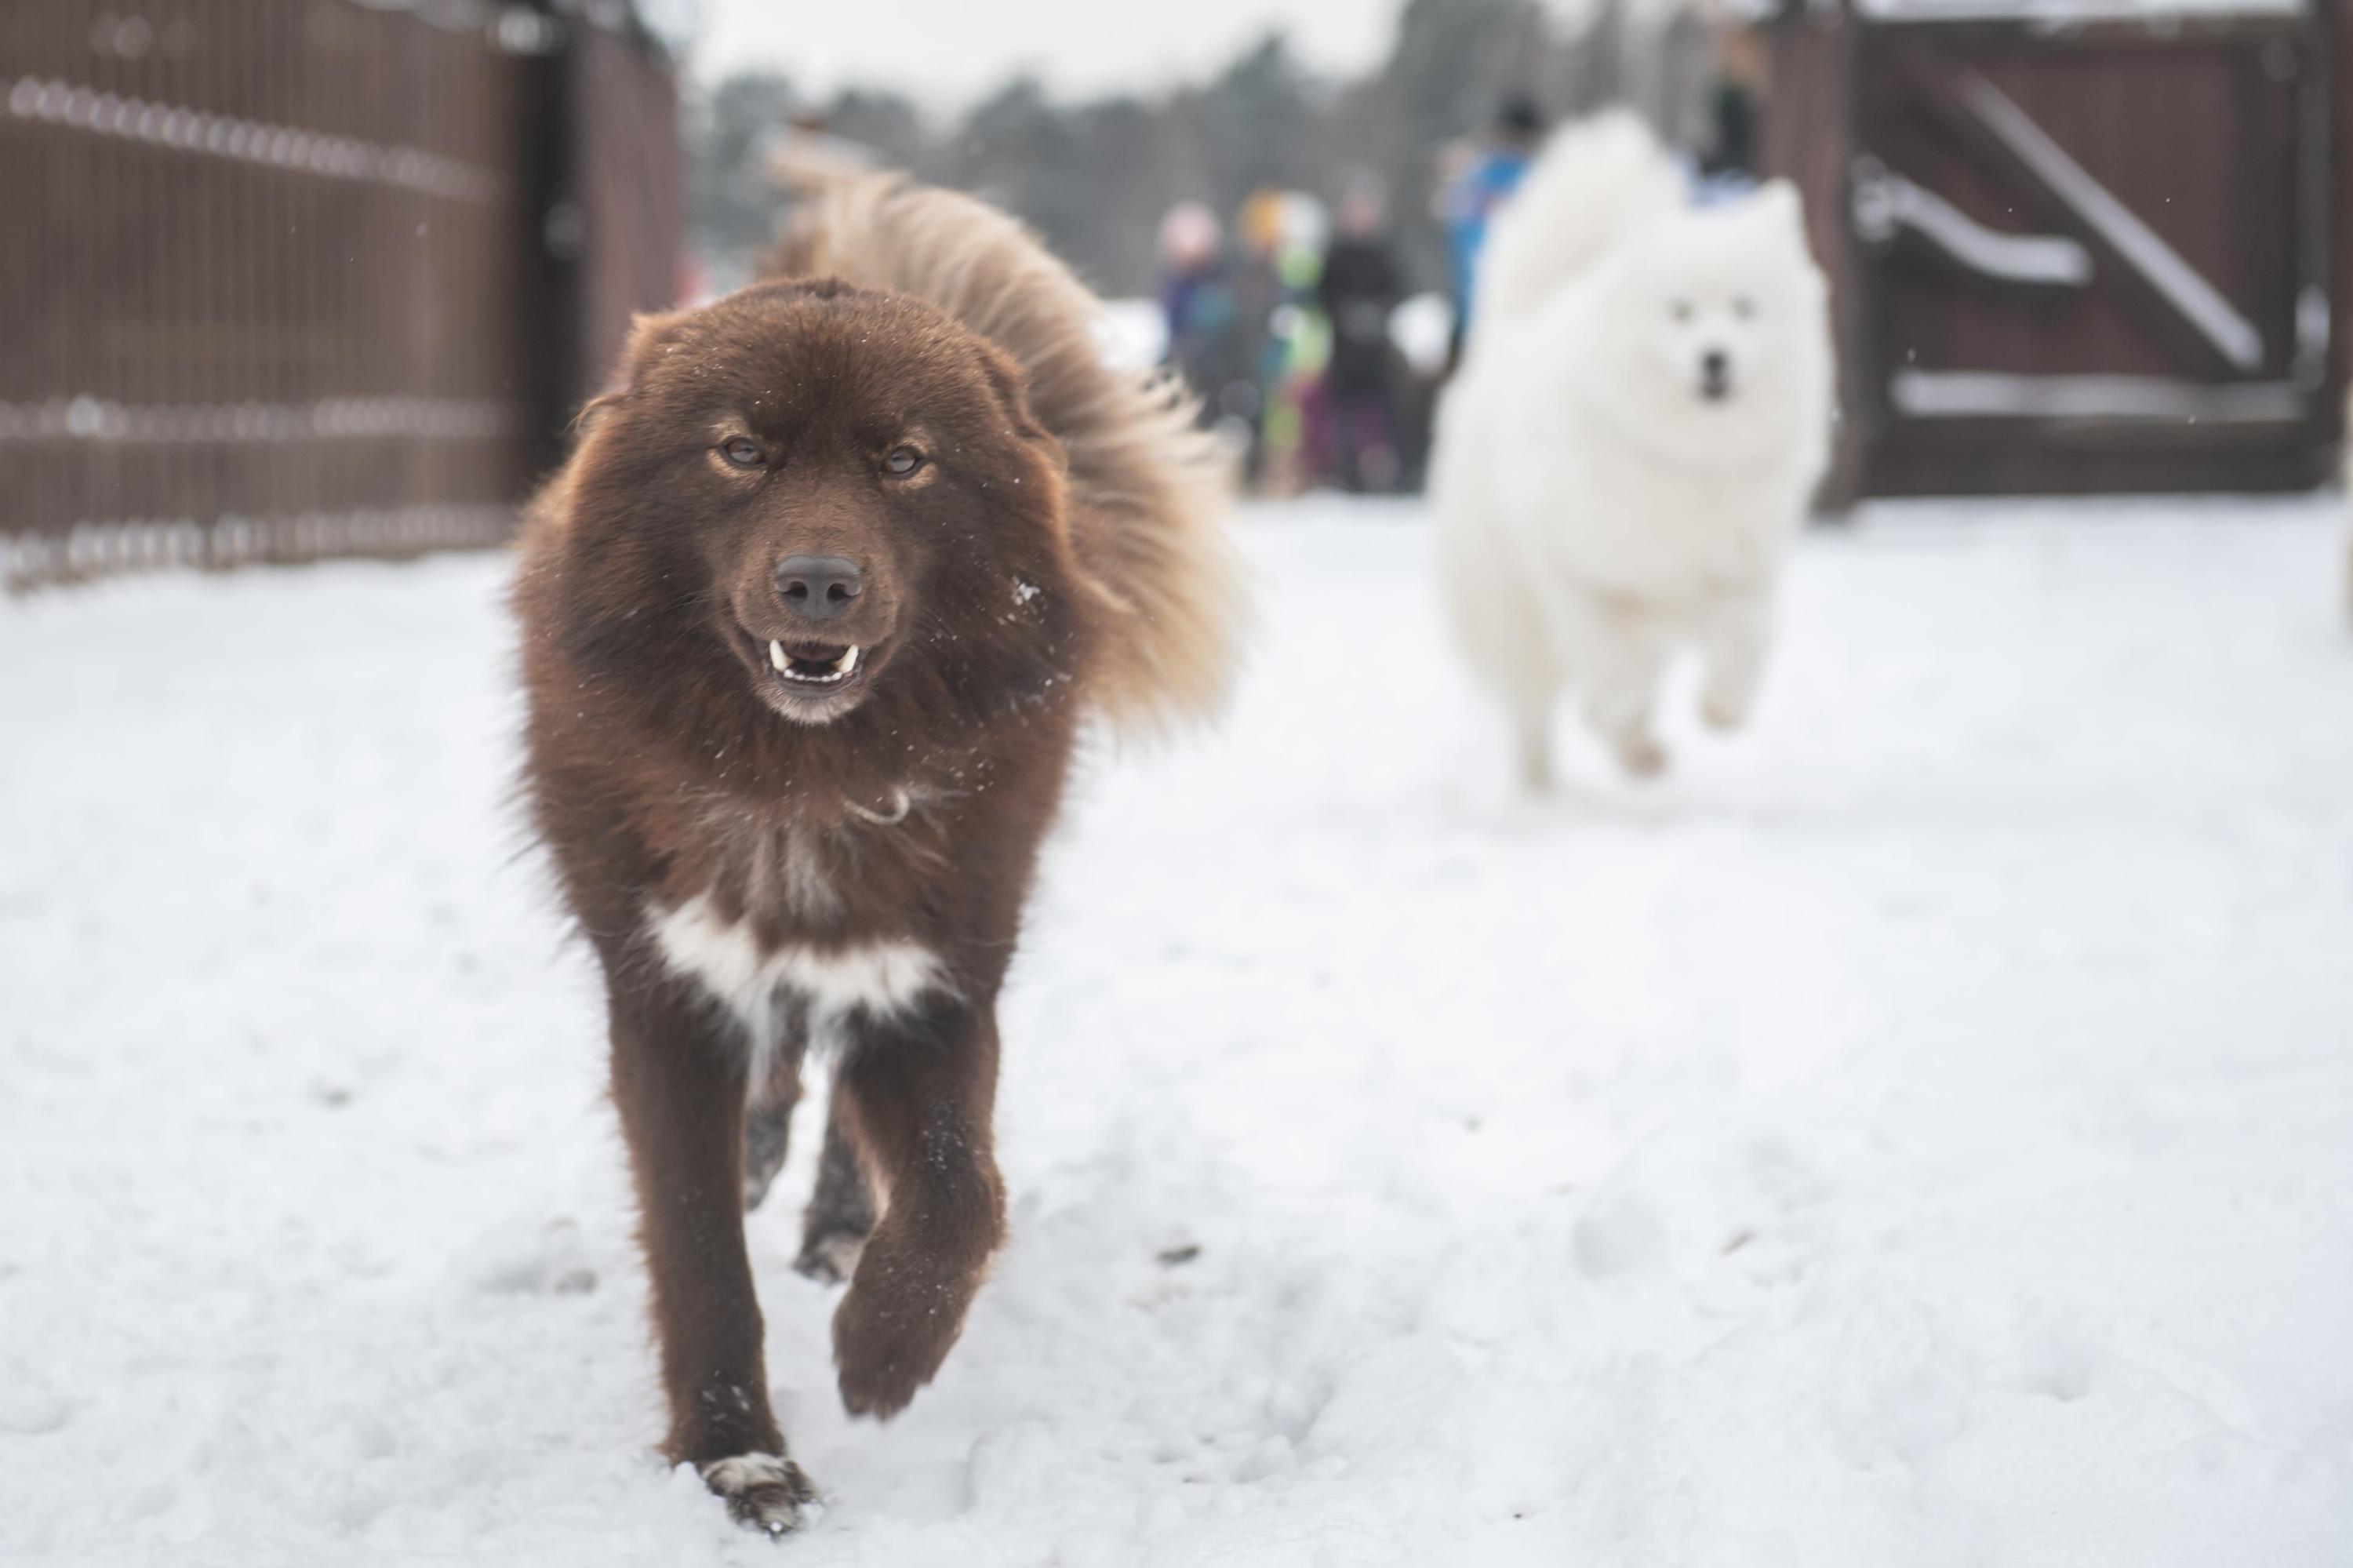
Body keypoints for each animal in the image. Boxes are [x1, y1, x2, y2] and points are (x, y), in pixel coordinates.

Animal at [513, 170, 1242, 1525]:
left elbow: (962, 1189)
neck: (803, 780)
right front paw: (738, 1453)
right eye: (740, 450)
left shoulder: (932, 983)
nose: (818, 583)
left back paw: (841, 1230)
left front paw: (883, 1350)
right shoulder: (665, 993)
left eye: (905, 461)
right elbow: (698, 1244)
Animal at [1431, 113, 1835, 781]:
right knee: (1534, 705)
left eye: (1745, 308)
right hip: (1511, 613)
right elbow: (1609, 668)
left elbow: (1744, 637)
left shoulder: (1738, 566)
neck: (1685, 460)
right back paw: (1545, 781)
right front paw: (1624, 724)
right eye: (1681, 311)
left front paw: (1723, 705)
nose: (1716, 358)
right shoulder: (1576, 572)